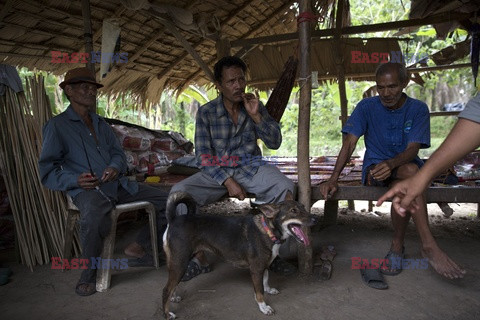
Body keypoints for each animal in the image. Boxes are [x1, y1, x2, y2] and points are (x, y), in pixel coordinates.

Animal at [162, 191, 318, 318]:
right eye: (293, 211)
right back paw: (167, 314)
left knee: (172, 285)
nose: (314, 219)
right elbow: (259, 291)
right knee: (166, 289)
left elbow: (265, 280)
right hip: (180, 263)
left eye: (303, 207)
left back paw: (173, 298)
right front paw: (263, 307)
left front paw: (268, 290)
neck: (268, 230)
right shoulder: (256, 269)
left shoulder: (264, 266)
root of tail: (173, 219)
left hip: (177, 264)